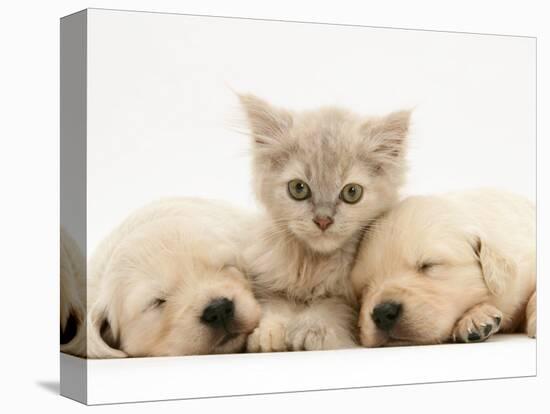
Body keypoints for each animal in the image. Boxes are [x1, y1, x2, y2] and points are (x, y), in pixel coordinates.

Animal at [239, 95, 412, 350]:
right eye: (298, 188)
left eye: (352, 192)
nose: (323, 220)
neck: (314, 264)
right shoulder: (268, 285)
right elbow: (276, 307)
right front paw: (268, 333)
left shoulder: (349, 301)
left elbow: (330, 307)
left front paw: (311, 330)